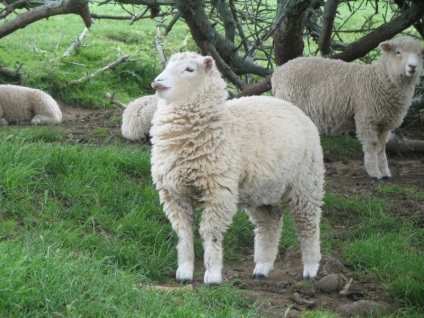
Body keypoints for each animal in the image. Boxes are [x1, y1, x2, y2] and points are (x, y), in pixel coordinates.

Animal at [150, 52, 324, 286]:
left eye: (189, 69)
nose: (157, 82)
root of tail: (293, 107)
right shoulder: (174, 193)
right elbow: (184, 233)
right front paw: (184, 273)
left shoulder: (218, 192)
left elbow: (210, 232)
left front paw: (212, 275)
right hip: (262, 191)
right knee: (270, 223)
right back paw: (262, 268)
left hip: (306, 183)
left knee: (308, 225)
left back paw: (310, 268)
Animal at [272, 36, 424, 180]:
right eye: (398, 52)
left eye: (419, 54)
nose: (412, 66)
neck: (379, 79)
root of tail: (277, 73)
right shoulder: (366, 118)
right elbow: (372, 145)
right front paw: (375, 173)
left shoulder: (385, 123)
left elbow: (381, 147)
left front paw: (385, 172)